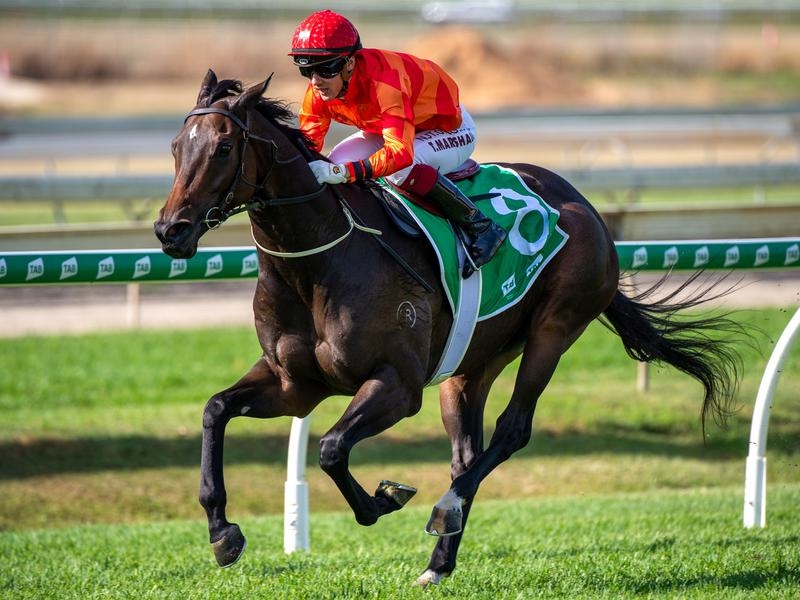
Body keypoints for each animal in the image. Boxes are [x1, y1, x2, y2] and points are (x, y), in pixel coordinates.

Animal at [154, 70, 742, 587]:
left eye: (223, 148)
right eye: (177, 146)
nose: (170, 230)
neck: (319, 260)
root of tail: (585, 206)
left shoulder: (397, 384)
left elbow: (332, 448)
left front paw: (382, 500)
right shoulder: (294, 384)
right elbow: (215, 410)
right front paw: (222, 532)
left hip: (554, 329)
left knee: (511, 430)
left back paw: (446, 508)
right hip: (471, 362)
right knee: (466, 451)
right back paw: (439, 561)